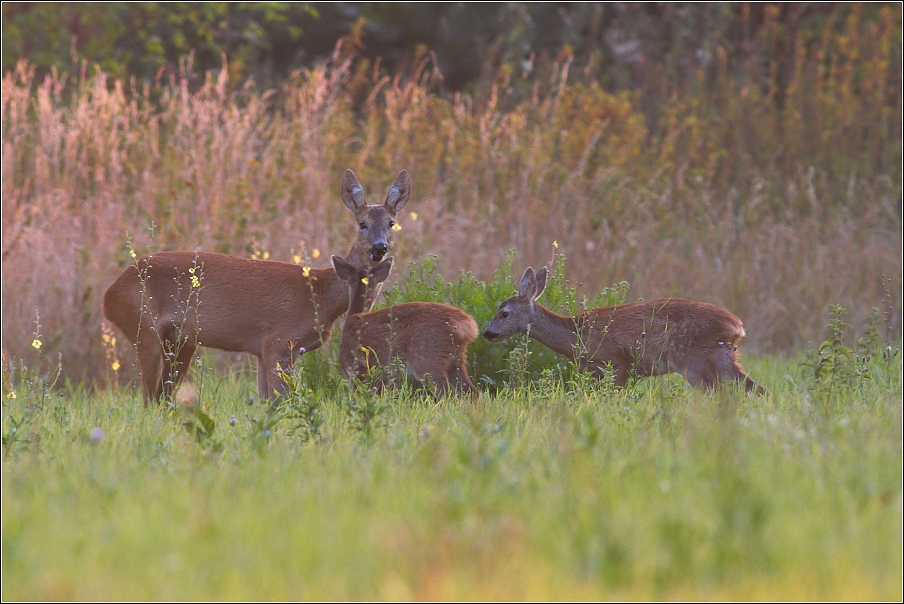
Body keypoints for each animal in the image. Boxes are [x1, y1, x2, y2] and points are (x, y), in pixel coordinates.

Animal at [102, 169, 410, 406]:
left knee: (162, 397)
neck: (321, 296)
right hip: (144, 327)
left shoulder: (262, 350)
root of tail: (108, 295)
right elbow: (281, 400)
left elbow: (266, 400)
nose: (379, 248)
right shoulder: (279, 340)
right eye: (362, 224)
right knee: (148, 399)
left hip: (181, 341)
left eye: (391, 223)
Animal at [332, 255, 480, 396]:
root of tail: (467, 325)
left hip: (428, 359)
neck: (353, 317)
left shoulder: (354, 367)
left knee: (450, 393)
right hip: (457, 360)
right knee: (473, 392)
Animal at [480, 266, 764, 394]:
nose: (487, 333)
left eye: (504, 313)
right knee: (756, 389)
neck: (576, 337)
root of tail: (737, 326)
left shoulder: (615, 362)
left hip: (694, 359)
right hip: (725, 356)